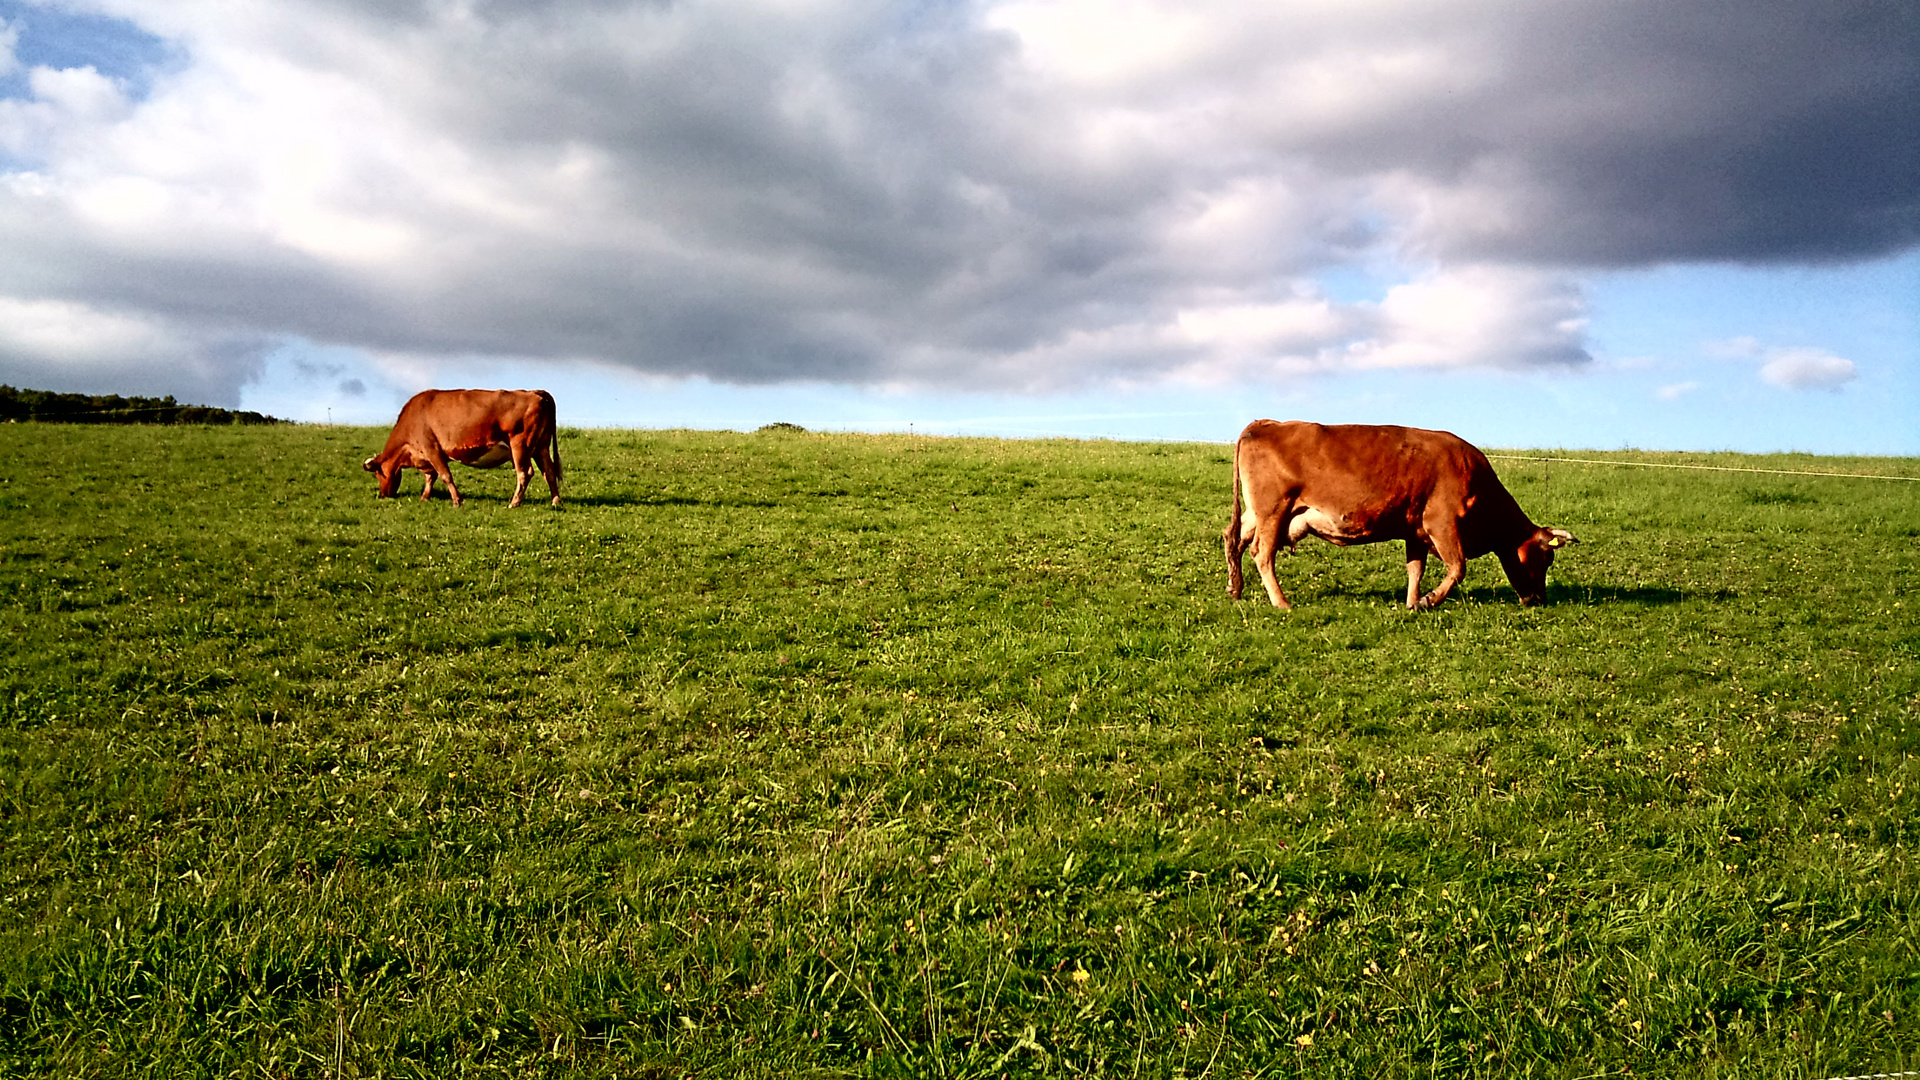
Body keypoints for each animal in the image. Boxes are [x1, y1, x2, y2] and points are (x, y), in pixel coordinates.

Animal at [362, 386, 560, 503]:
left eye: (377, 474)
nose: (382, 495)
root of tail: (533, 392)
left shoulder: (432, 448)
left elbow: (445, 476)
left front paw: (457, 501)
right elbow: (431, 478)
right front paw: (424, 498)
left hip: (520, 445)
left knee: (525, 473)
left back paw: (514, 503)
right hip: (541, 446)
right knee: (549, 471)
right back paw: (555, 501)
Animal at [1228, 418, 1574, 607]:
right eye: (1545, 558)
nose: (1539, 600)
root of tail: (1266, 423)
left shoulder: (1415, 530)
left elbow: (1415, 569)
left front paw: (1412, 602)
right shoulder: (1441, 522)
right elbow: (1458, 568)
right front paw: (1428, 600)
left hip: (1259, 513)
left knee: (1234, 540)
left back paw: (1235, 587)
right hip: (1273, 510)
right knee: (1261, 553)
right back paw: (1281, 602)